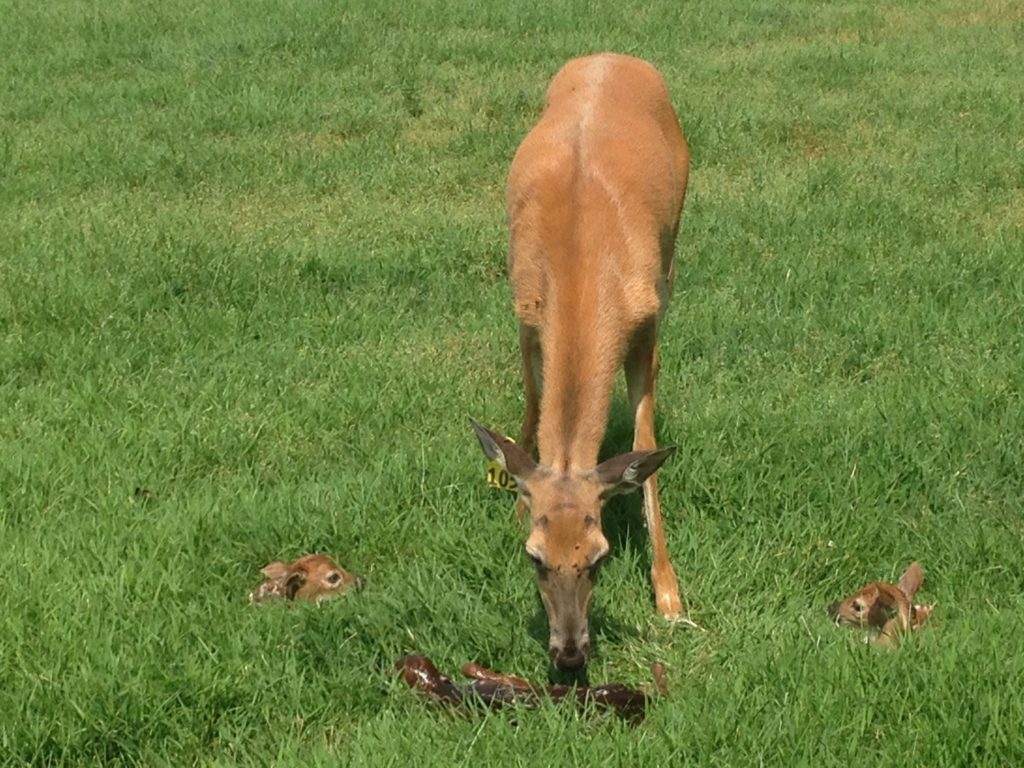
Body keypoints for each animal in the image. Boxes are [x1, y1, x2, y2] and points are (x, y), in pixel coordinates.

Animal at [468, 51, 688, 671]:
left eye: (600, 556)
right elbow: (532, 405)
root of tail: (612, 56)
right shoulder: (526, 308)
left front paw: (669, 592)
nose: (569, 656)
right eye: (534, 557)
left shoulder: (646, 318)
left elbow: (644, 442)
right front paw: (514, 500)